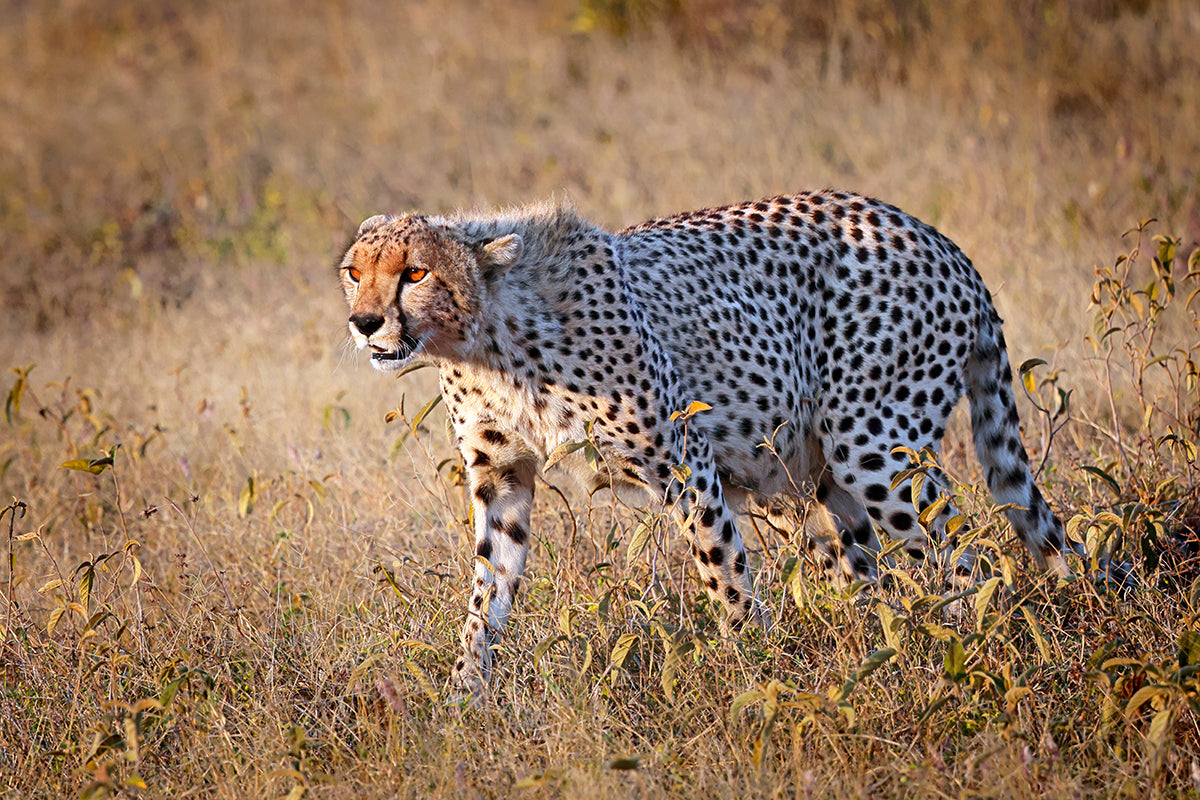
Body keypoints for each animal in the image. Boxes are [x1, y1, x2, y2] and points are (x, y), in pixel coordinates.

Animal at [337, 191, 1077, 697]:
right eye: (354, 271)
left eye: (415, 273)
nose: (364, 322)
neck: (484, 337)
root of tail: (930, 234)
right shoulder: (502, 476)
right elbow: (487, 588)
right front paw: (466, 691)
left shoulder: (683, 460)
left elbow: (723, 570)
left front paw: (756, 671)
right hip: (815, 480)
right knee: (870, 572)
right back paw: (882, 651)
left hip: (877, 449)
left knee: (965, 558)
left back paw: (966, 651)